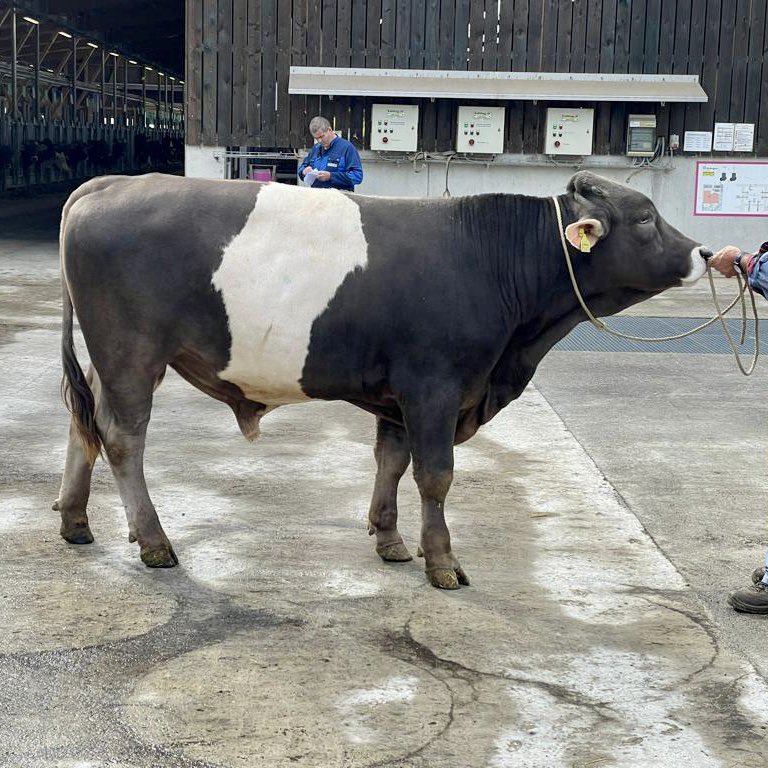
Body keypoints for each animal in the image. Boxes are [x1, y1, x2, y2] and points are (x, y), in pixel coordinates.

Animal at [56, 171, 710, 589]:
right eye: (645, 217)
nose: (704, 253)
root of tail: (112, 182)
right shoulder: (434, 385)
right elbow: (436, 475)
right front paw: (442, 563)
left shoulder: (402, 395)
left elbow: (392, 461)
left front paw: (389, 539)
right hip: (131, 352)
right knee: (123, 438)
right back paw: (154, 542)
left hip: (109, 359)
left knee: (83, 424)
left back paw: (75, 521)